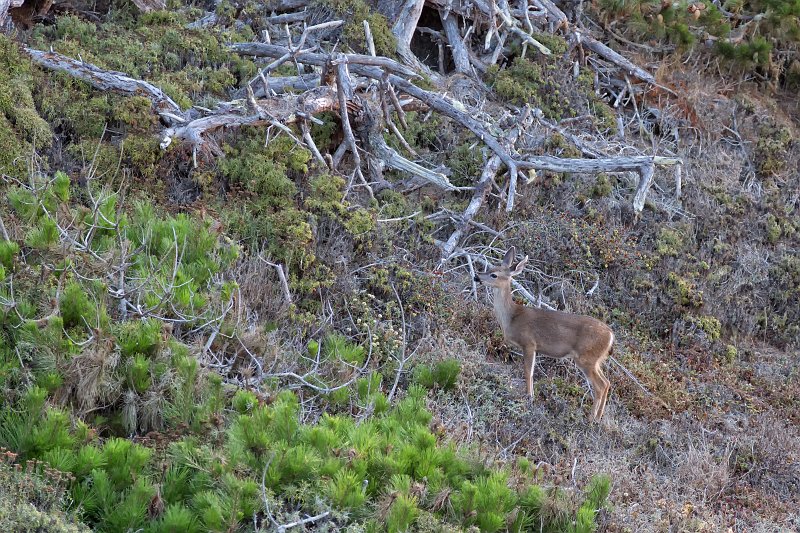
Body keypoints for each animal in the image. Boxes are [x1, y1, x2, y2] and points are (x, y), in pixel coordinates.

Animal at [474, 247, 615, 420]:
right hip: (596, 360)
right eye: (489, 268)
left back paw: (591, 419)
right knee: (607, 382)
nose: (476, 276)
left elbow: (528, 372)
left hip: (586, 358)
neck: (511, 318)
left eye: (494, 274)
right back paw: (599, 418)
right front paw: (531, 395)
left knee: (601, 386)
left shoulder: (529, 343)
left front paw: (529, 397)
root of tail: (611, 335)